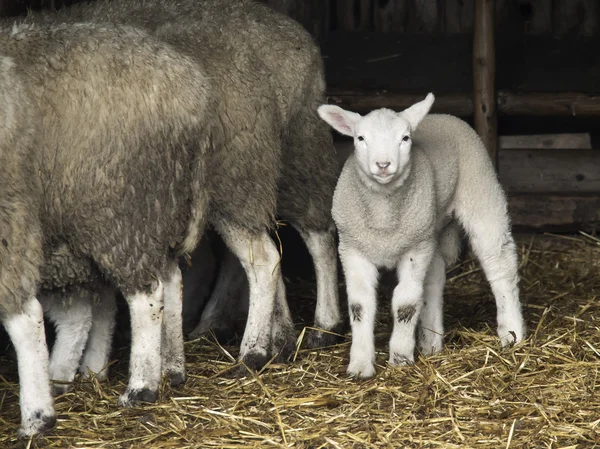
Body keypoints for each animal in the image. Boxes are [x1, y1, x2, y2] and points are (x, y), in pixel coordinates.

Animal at [0, 21, 212, 434]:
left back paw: (136, 388)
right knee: (170, 280)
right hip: (152, 210)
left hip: (120, 209)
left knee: (145, 296)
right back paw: (170, 368)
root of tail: (192, 88)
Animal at [318, 93, 524, 378]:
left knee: (500, 266)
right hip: (430, 230)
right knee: (434, 279)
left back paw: (512, 333)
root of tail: (442, 116)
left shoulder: (414, 248)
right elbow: (359, 306)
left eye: (405, 138)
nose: (383, 165)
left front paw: (400, 358)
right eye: (360, 138)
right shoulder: (353, 248)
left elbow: (405, 304)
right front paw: (359, 365)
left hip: (480, 194)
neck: (383, 215)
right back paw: (431, 342)